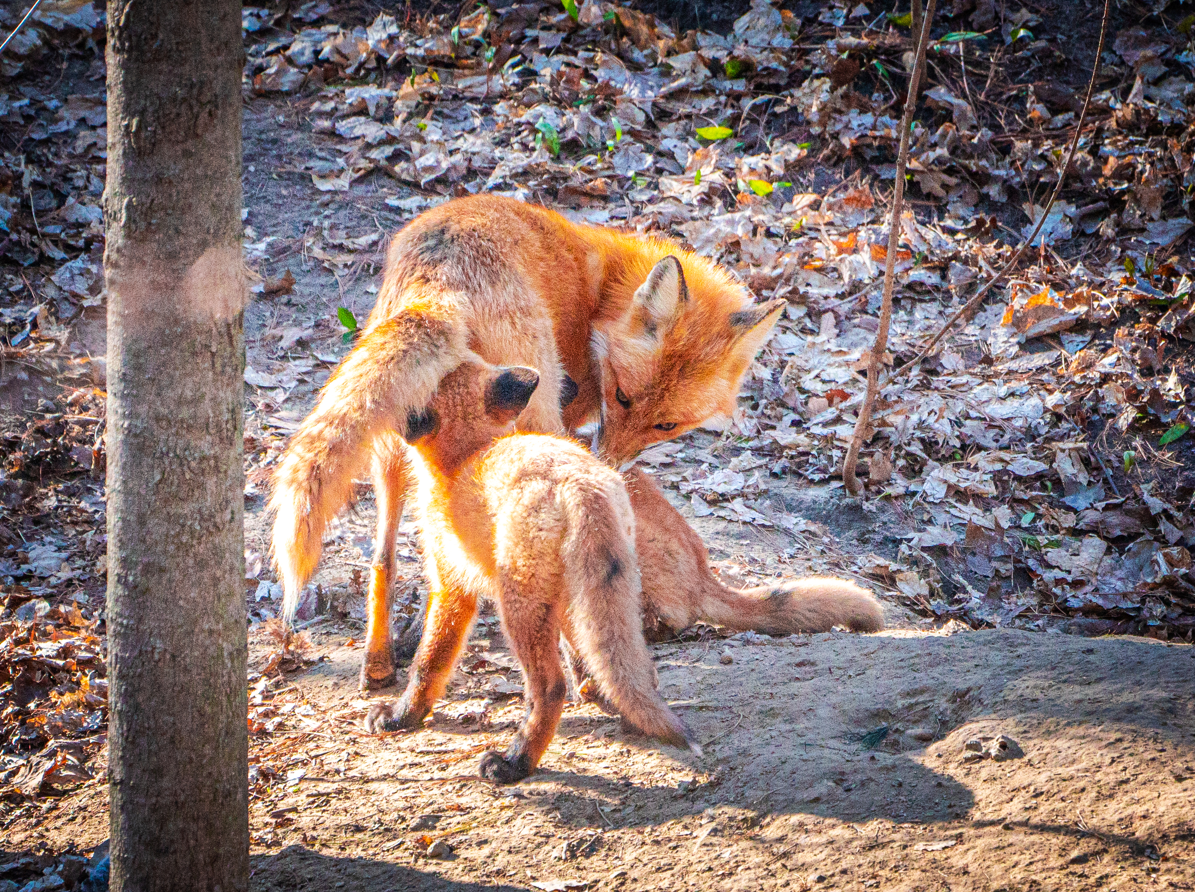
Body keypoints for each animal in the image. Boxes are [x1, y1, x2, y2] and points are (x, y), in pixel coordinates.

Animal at [270, 195, 880, 691]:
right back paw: (585, 673)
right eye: (623, 396)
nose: (609, 464)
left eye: (666, 426)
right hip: (525, 410)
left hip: (396, 437)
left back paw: (378, 664)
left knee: (384, 556)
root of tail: (436, 281)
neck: (602, 293)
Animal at [363, 357, 699, 783]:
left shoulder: (452, 582)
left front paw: (402, 716)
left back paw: (516, 761)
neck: (466, 456)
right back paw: (634, 719)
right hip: (595, 593)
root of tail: (579, 485)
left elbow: (429, 662)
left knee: (551, 688)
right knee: (637, 671)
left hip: (519, 607)